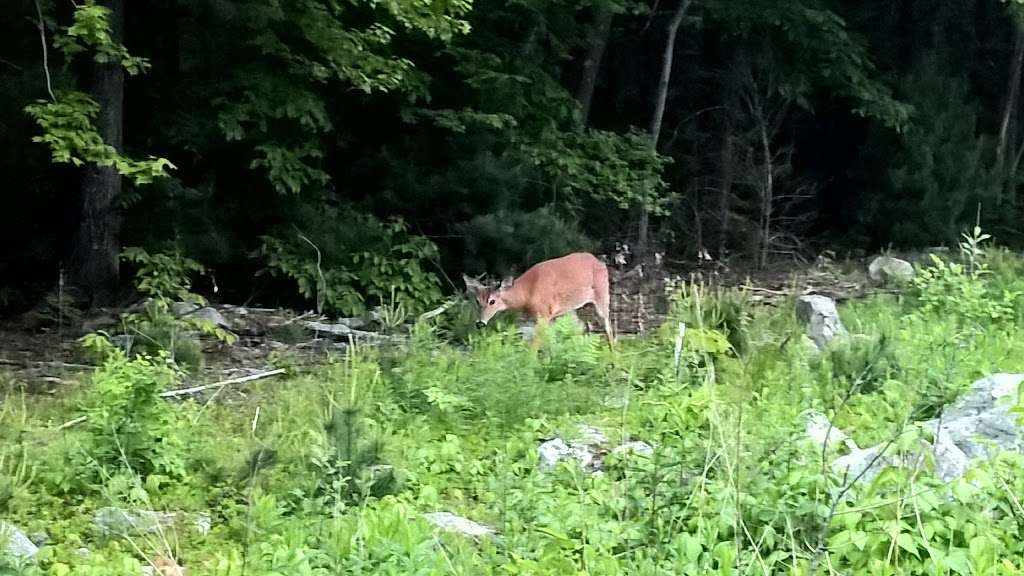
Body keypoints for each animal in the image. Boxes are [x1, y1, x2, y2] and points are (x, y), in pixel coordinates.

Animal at [464, 250, 614, 348]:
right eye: (477, 301)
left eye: (492, 301)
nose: (480, 323)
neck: (528, 293)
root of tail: (599, 262)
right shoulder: (547, 316)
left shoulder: (544, 313)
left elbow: (536, 343)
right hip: (570, 308)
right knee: (581, 326)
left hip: (602, 294)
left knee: (607, 326)